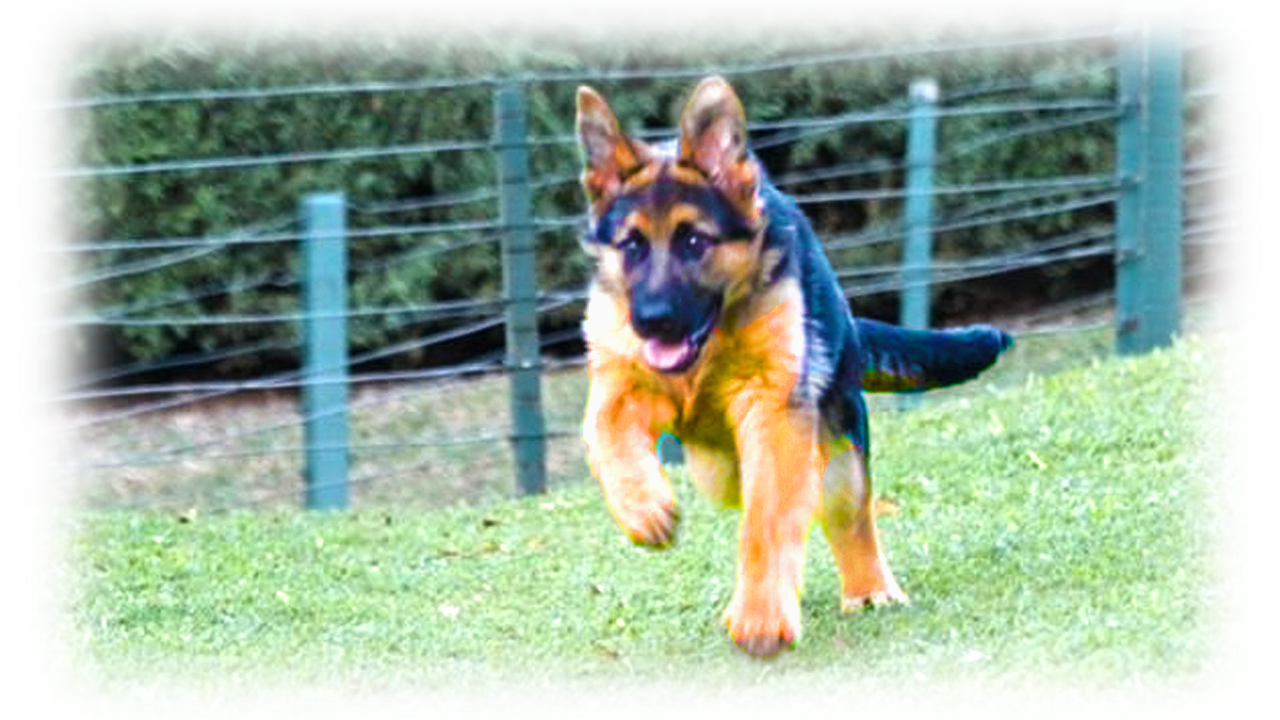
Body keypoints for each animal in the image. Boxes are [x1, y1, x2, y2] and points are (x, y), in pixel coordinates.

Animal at [578, 75, 1008, 653]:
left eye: (694, 240)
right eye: (632, 246)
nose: (651, 319)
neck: (709, 346)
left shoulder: (775, 411)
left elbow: (768, 518)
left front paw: (761, 616)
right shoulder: (621, 386)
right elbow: (608, 436)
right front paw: (644, 509)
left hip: (838, 454)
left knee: (847, 516)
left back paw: (870, 590)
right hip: (719, 467)